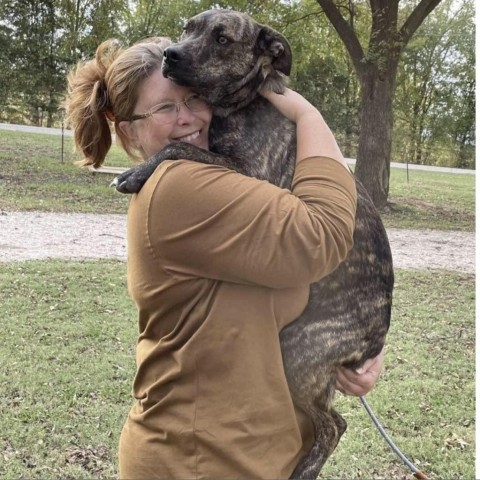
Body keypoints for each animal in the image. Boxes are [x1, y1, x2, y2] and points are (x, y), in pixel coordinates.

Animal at [113, 9, 394, 478]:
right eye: (188, 27)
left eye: (223, 39)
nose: (171, 55)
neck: (241, 103)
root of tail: (374, 340)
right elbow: (182, 147)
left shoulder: (250, 172)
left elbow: (176, 149)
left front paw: (136, 173)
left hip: (297, 350)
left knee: (334, 424)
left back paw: (304, 468)